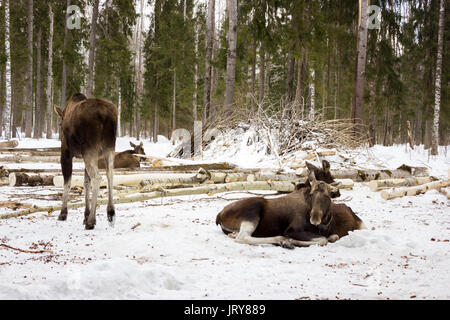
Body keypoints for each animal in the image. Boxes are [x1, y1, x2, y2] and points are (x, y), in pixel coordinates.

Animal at [215, 169, 366, 249]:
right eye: (312, 194)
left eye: (328, 196)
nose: (314, 218)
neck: (325, 222)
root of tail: (219, 215)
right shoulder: (292, 230)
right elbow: (323, 240)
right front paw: (290, 241)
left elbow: (332, 237)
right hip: (253, 210)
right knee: (243, 237)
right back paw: (281, 240)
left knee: (237, 235)